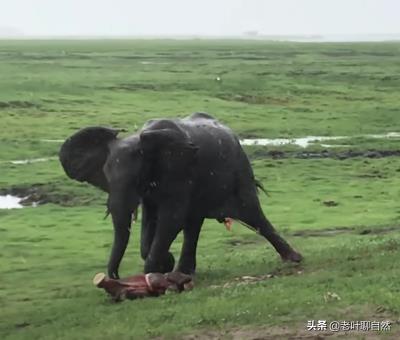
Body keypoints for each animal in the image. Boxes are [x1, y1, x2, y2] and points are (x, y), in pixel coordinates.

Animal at [59, 113, 302, 278]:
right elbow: (152, 221)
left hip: (239, 171)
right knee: (193, 225)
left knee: (253, 214)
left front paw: (156, 271)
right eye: (106, 178)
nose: (115, 277)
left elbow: (171, 219)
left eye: (135, 179)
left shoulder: (178, 171)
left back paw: (294, 260)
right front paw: (164, 263)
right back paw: (184, 272)